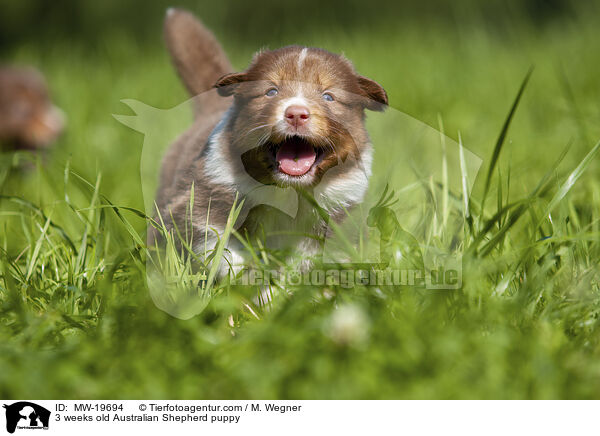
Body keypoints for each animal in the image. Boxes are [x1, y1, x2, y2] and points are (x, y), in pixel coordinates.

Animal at [155, 10, 386, 272]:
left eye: (328, 96)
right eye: (271, 91)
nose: (296, 113)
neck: (290, 191)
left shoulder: (340, 216)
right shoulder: (205, 201)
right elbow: (222, 249)